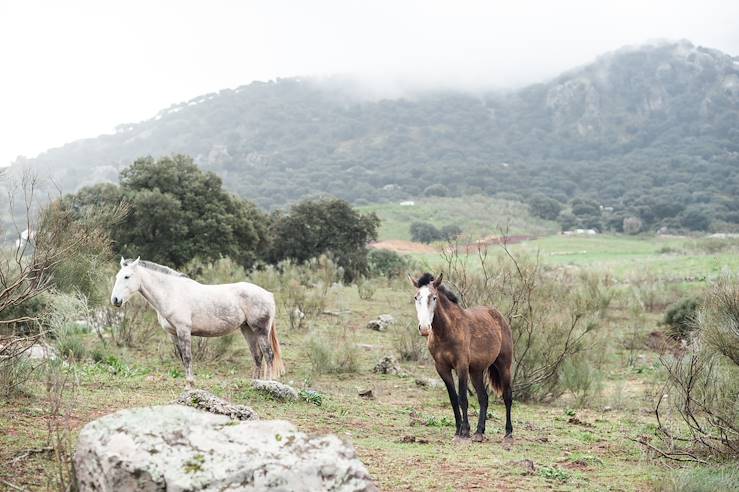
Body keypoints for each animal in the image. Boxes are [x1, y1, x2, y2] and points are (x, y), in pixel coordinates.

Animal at [109, 256, 284, 386]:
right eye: (117, 276)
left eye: (127, 276)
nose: (115, 300)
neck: (171, 293)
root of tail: (268, 294)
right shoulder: (174, 334)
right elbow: (182, 358)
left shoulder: (183, 330)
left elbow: (187, 357)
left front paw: (190, 384)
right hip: (247, 330)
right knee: (257, 356)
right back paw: (255, 383)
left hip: (261, 331)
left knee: (268, 355)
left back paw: (268, 384)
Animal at [410, 272, 516, 442]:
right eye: (416, 297)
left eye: (434, 297)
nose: (425, 328)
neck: (446, 331)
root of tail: (498, 317)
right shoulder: (442, 368)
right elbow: (454, 398)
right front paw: (458, 430)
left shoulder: (461, 366)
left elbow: (463, 398)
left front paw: (465, 432)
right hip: (476, 371)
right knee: (483, 398)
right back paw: (479, 432)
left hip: (504, 366)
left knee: (507, 396)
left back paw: (508, 432)